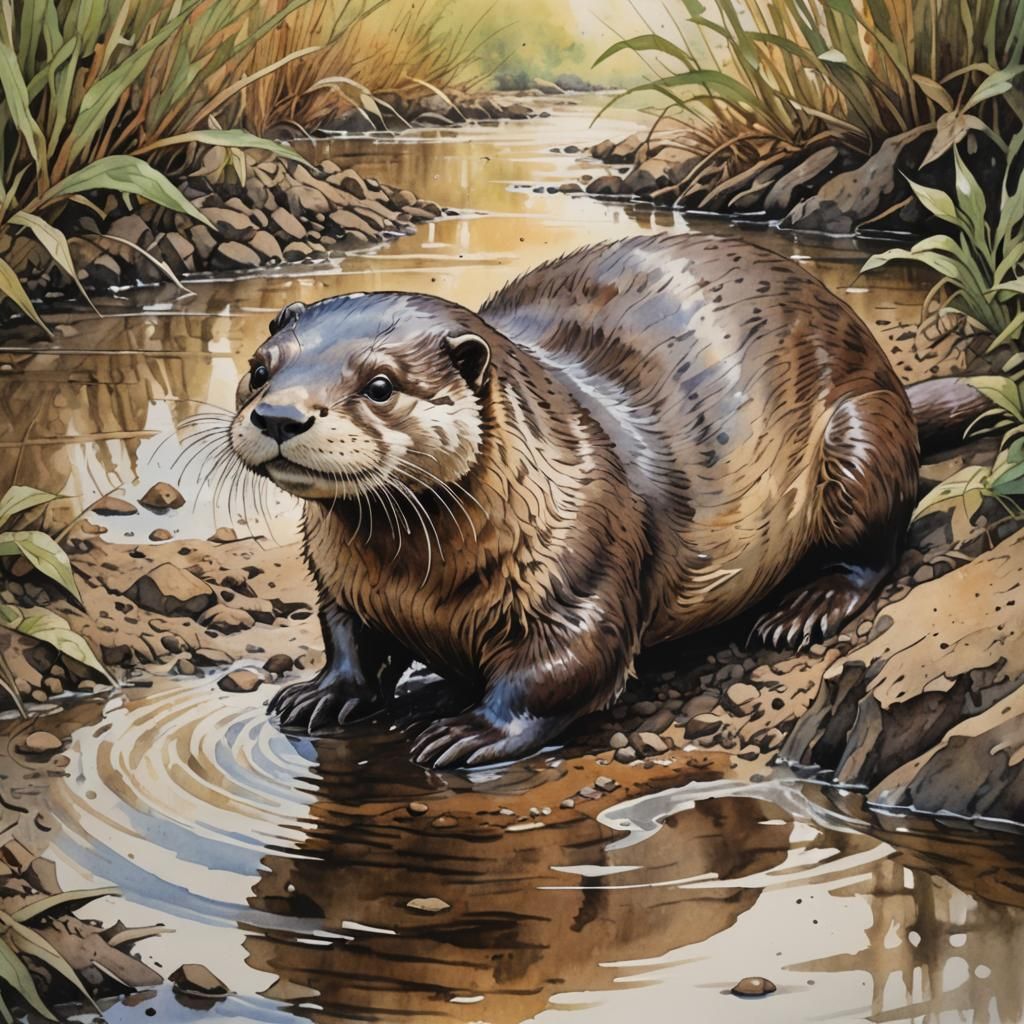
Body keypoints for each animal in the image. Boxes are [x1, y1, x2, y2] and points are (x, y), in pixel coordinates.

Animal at [228, 234, 986, 768]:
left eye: (380, 385)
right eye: (260, 369)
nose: (279, 416)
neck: (419, 587)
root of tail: (887, 376)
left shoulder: (587, 558)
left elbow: (568, 663)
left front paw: (471, 729)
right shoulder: (340, 581)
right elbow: (345, 634)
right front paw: (324, 691)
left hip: (858, 440)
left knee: (876, 544)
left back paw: (805, 609)